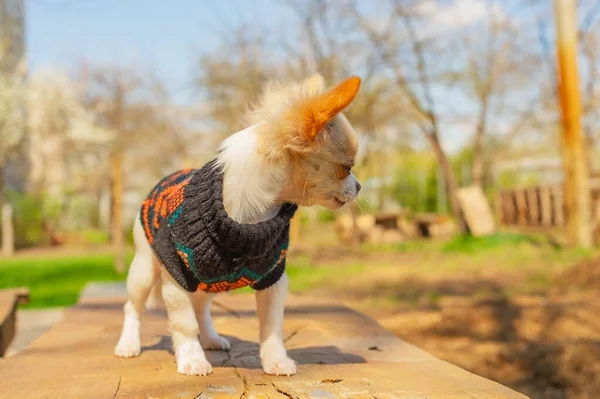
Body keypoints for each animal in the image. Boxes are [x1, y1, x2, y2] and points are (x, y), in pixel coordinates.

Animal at [115, 75, 364, 378]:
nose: (359, 187)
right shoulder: (176, 278)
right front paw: (192, 360)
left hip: (205, 285)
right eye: (346, 168)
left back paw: (211, 339)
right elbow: (184, 324)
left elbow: (271, 326)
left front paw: (275, 361)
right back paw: (128, 344)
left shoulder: (273, 279)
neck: (248, 221)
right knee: (133, 307)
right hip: (143, 270)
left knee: (202, 310)